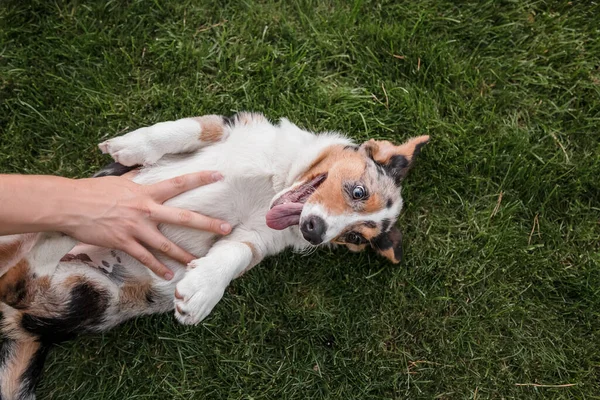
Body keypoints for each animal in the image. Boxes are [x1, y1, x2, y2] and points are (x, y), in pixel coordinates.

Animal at [0, 111, 428, 398]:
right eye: (357, 192)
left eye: (353, 237)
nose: (315, 233)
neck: (277, 180)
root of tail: (18, 326)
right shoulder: (236, 125)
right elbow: (191, 127)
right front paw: (129, 147)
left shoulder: (256, 237)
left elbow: (233, 254)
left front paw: (200, 293)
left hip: (92, 293)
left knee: (18, 281)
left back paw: (67, 226)